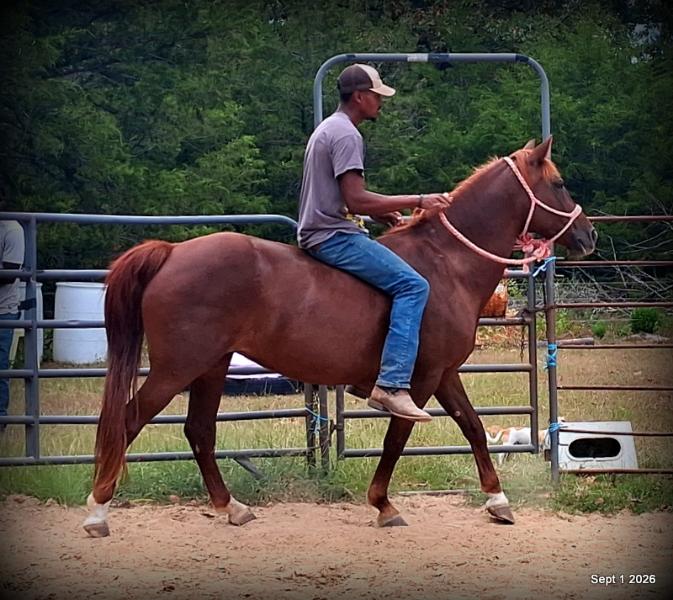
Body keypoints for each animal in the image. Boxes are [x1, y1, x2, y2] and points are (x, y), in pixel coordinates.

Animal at [83, 137, 596, 537]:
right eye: (558, 183)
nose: (589, 235)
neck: (447, 263)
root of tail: (171, 253)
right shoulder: (420, 380)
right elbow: (397, 437)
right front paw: (383, 504)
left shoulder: (445, 373)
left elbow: (472, 428)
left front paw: (497, 501)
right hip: (177, 367)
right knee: (128, 421)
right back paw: (97, 512)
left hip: (211, 366)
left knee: (199, 431)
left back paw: (232, 508)